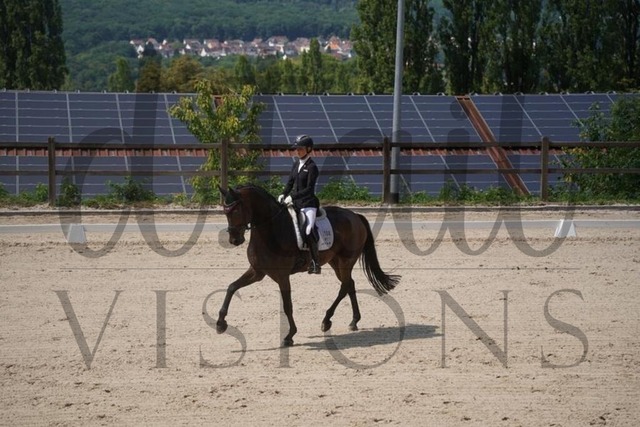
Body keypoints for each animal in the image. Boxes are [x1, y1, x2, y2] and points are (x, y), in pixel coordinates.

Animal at [217, 184, 400, 347]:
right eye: (225, 212)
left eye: (236, 211)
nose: (234, 240)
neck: (270, 230)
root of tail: (355, 215)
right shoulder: (257, 271)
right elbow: (231, 287)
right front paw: (220, 324)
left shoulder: (282, 275)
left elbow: (287, 306)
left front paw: (289, 336)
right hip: (335, 262)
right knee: (350, 284)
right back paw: (353, 321)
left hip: (346, 261)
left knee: (345, 285)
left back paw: (327, 320)